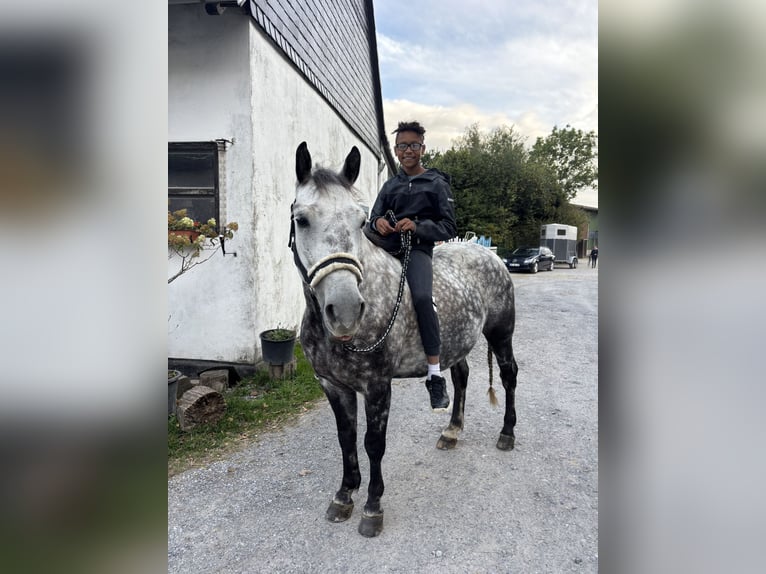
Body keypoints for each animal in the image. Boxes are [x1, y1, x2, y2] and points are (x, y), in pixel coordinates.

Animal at [289, 142, 518, 537]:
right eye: (301, 219)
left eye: (359, 221)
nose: (346, 310)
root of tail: (489, 254)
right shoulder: (333, 385)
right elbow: (346, 439)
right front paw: (344, 496)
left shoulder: (378, 386)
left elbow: (373, 444)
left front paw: (372, 507)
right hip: (455, 342)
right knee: (461, 377)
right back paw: (451, 431)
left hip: (501, 334)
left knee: (508, 375)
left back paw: (507, 433)